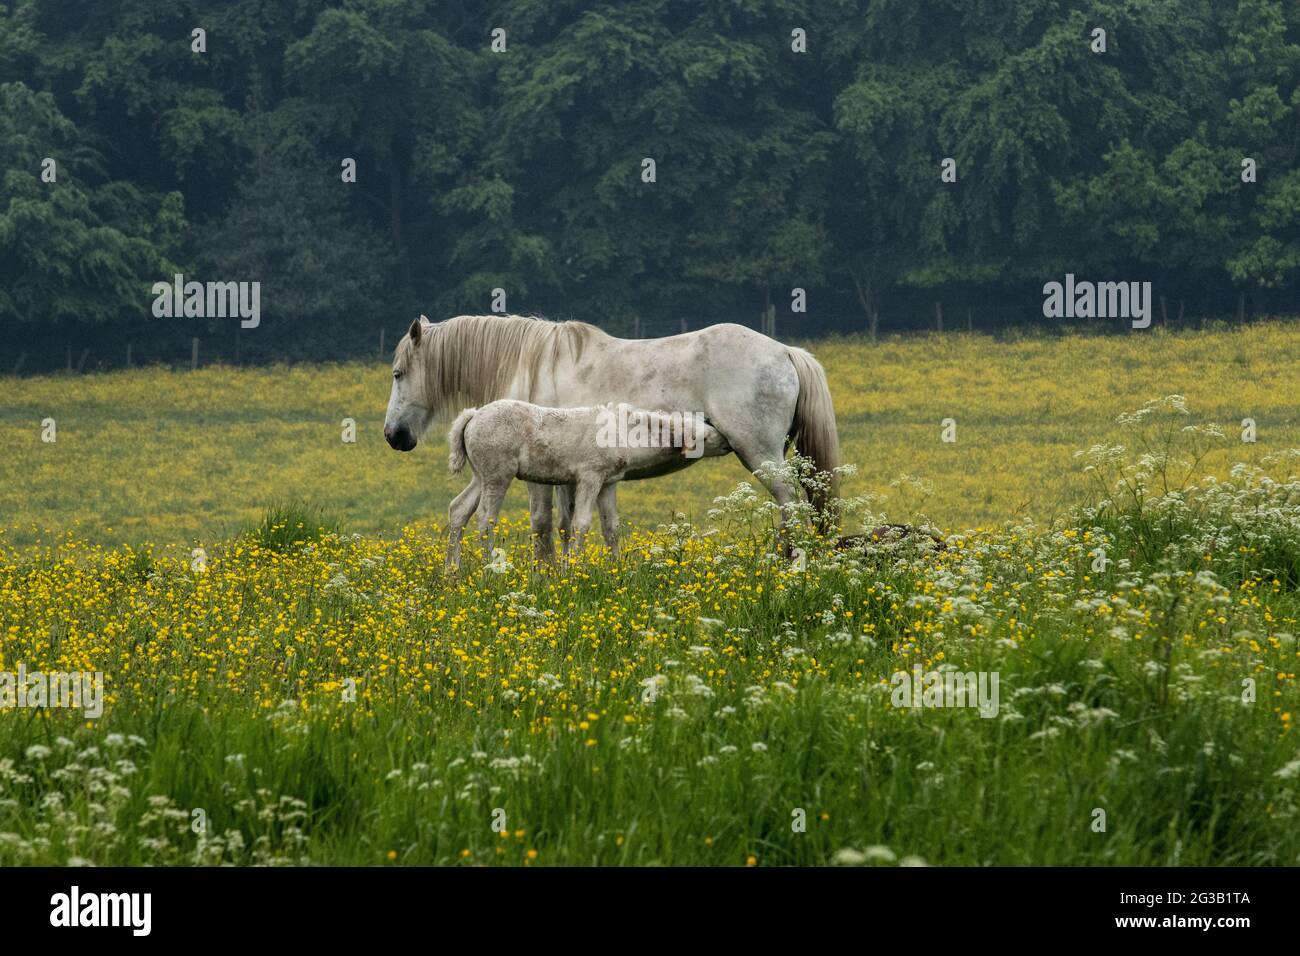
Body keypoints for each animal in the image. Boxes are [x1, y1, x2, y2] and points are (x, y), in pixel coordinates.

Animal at [379, 314, 837, 554]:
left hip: (761, 455)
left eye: (398, 374)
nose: (393, 436)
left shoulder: (542, 479)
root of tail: (785, 352)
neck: (533, 365)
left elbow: (543, 525)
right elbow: (569, 525)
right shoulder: (572, 476)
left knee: (789, 505)